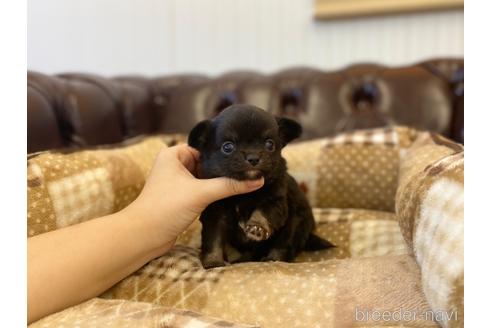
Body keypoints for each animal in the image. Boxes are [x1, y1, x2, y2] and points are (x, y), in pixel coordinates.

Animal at [188, 105, 334, 270]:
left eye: (269, 144)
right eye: (227, 147)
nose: (253, 158)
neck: (243, 195)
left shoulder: (274, 202)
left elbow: (262, 213)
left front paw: (257, 228)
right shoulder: (215, 214)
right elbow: (213, 240)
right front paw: (213, 262)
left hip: (295, 225)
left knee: (283, 245)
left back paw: (272, 258)